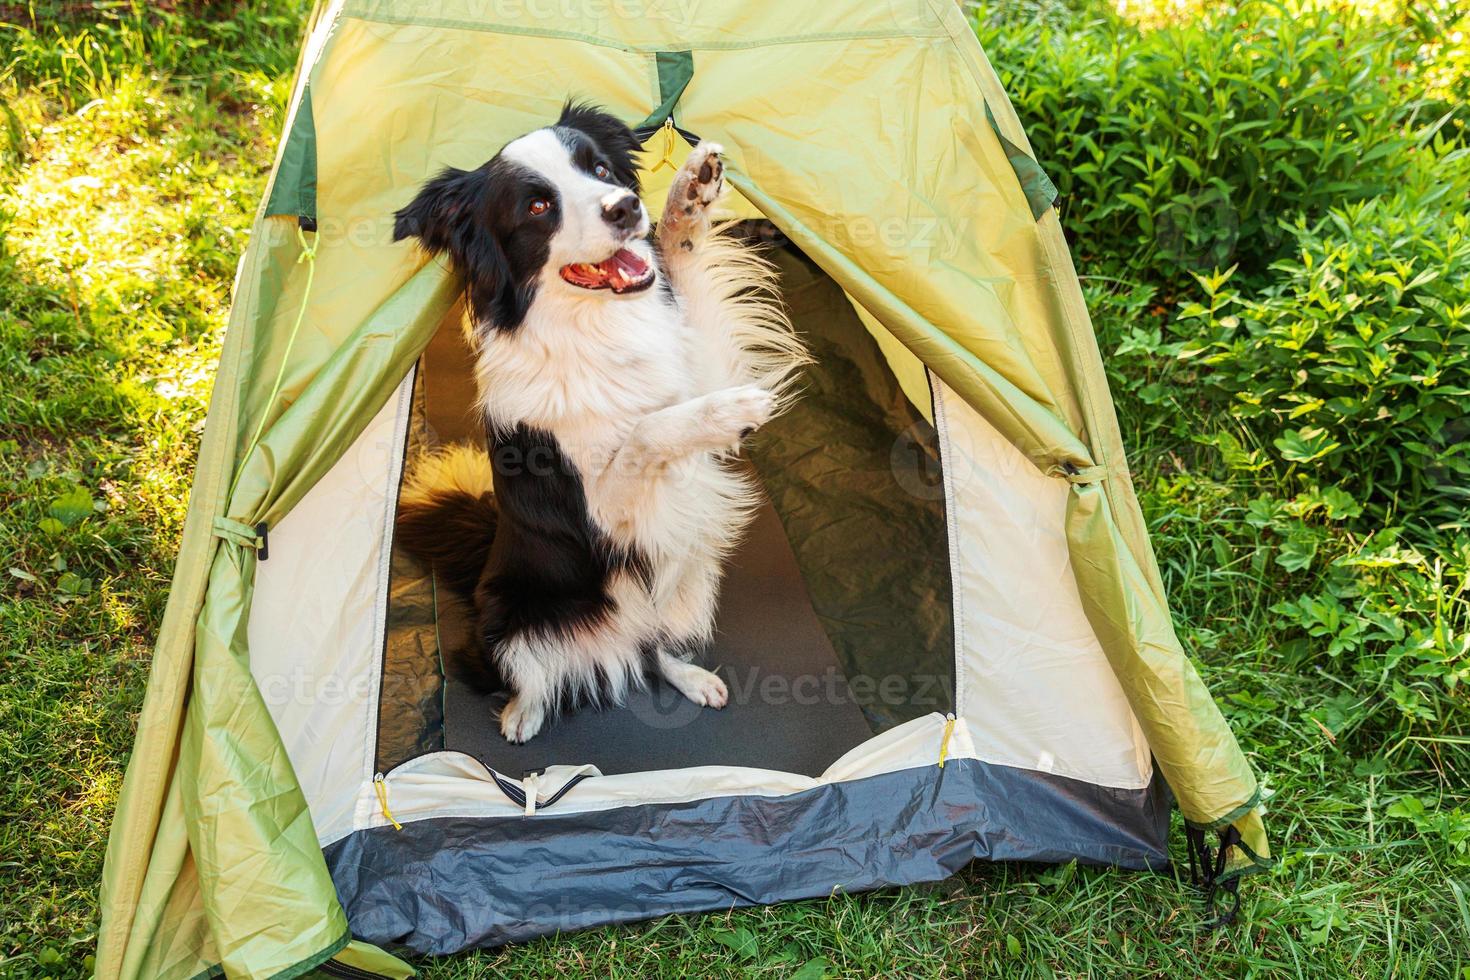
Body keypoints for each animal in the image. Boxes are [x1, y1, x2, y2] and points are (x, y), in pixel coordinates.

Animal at [391, 105, 805, 743]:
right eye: (538, 206)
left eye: (601, 169)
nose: (627, 207)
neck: (594, 330)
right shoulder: (601, 516)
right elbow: (643, 432)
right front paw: (734, 412)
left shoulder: (695, 364)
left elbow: (684, 274)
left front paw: (688, 196)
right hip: (509, 619)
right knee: (520, 672)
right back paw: (522, 713)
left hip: (689, 572)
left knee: (654, 647)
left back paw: (689, 677)